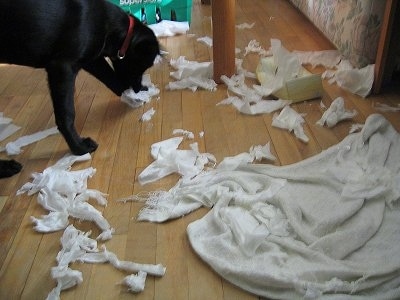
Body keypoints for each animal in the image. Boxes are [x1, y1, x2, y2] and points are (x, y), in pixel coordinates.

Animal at [0, 0, 159, 178]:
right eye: (142, 65)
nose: (139, 88)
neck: (106, 22)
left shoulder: (92, 59)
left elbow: (112, 80)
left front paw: (132, 96)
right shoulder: (62, 67)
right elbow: (66, 114)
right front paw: (78, 147)